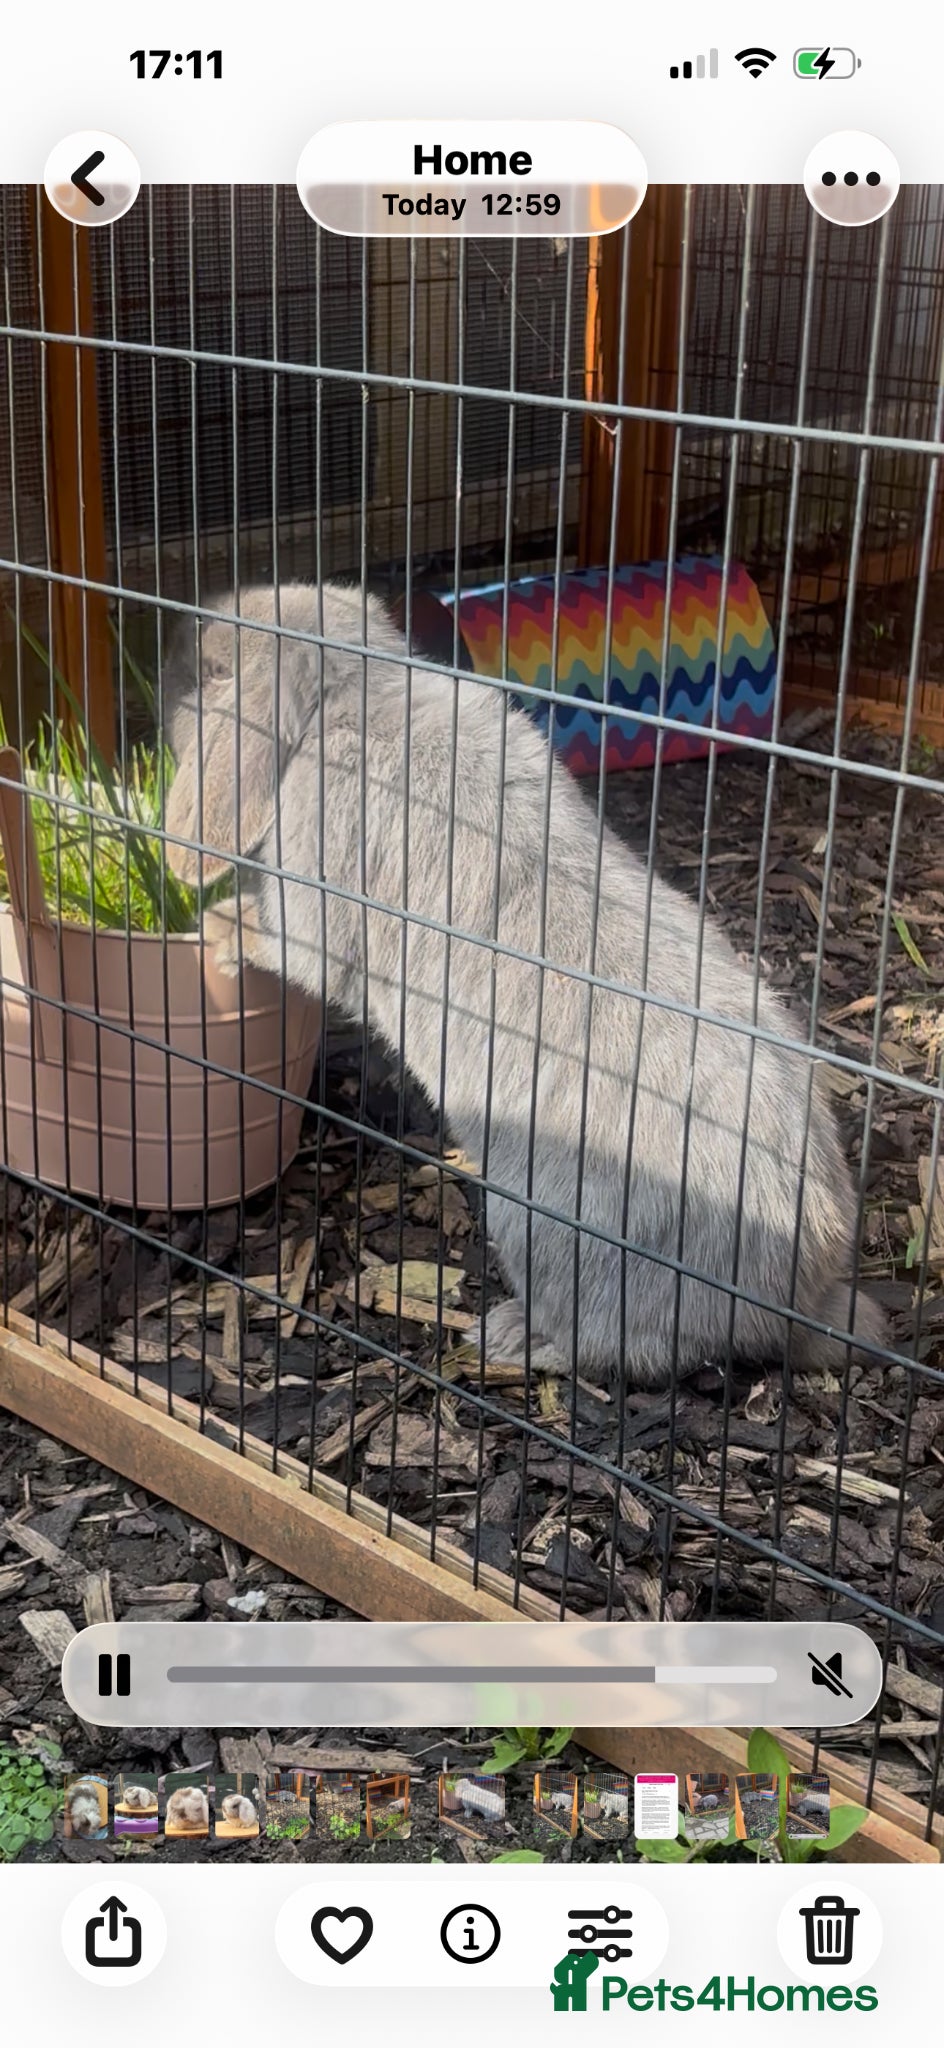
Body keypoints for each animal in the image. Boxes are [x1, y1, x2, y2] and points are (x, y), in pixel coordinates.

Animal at [164, 581, 886, 1393]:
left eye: (212, 671)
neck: (357, 696)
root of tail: (795, 1293)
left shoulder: (317, 890)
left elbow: (289, 944)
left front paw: (219, 927)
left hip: (542, 1230)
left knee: (620, 1350)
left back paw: (509, 1337)